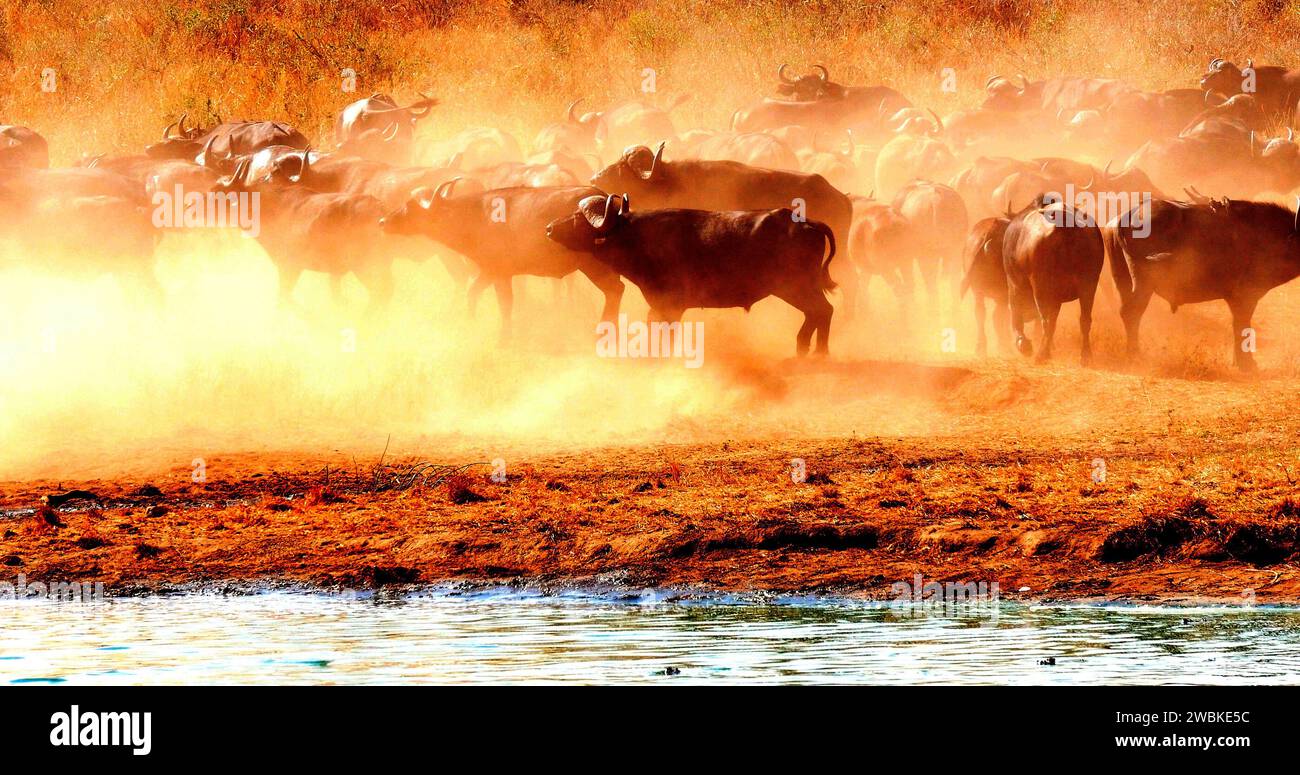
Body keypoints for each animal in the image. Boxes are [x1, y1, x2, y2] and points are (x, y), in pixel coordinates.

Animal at [379, 183, 626, 340]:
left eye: (409, 206)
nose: (383, 221)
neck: (475, 217)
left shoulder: (501, 274)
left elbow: (505, 303)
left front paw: (504, 336)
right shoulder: (489, 271)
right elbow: (473, 292)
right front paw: (470, 321)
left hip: (595, 266)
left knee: (615, 289)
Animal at [998, 193, 1102, 364]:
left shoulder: (1014, 285)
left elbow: (1016, 315)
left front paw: (1023, 344)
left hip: (1040, 287)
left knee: (1045, 321)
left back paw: (1042, 354)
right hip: (1089, 286)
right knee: (1085, 320)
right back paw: (1085, 356)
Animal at [1102, 196, 1300, 371]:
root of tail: (1126, 216)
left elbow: (1237, 325)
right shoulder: (1245, 297)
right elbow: (1242, 325)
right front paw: (1247, 364)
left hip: (1122, 281)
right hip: (1144, 284)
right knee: (1132, 312)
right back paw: (1135, 356)